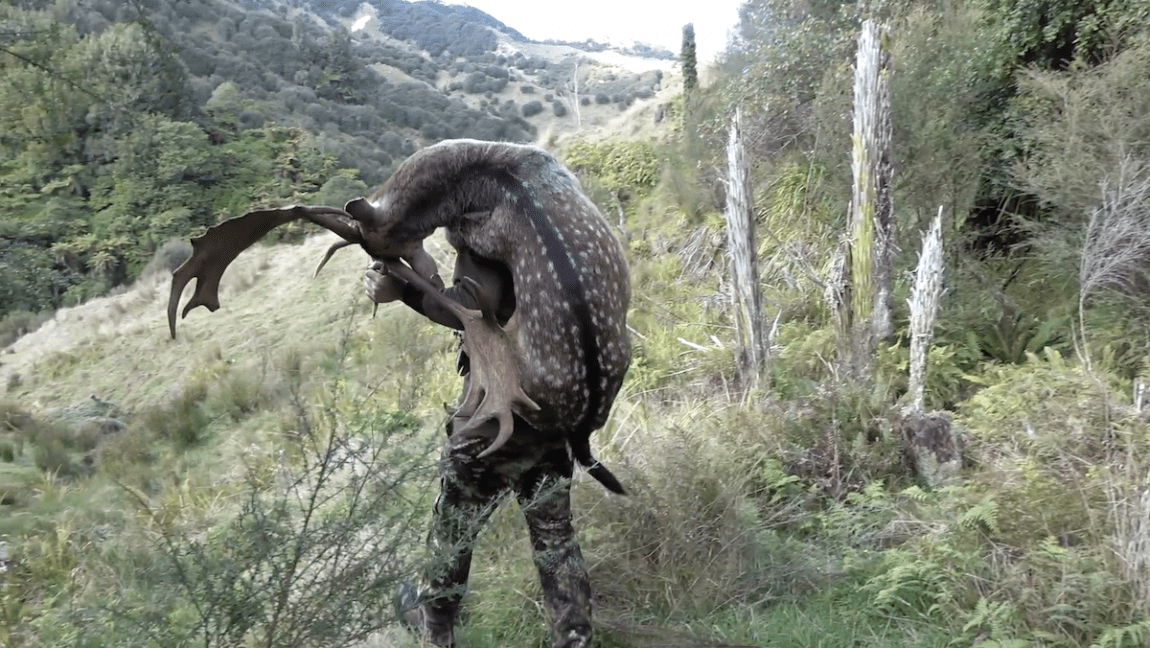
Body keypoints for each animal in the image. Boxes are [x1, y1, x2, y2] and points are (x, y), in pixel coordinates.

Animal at [168, 139, 631, 648]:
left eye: (379, 243)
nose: (406, 269)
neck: (478, 172)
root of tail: (581, 423)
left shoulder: (471, 244)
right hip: (549, 469)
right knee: (562, 564)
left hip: (478, 457)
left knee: (450, 546)